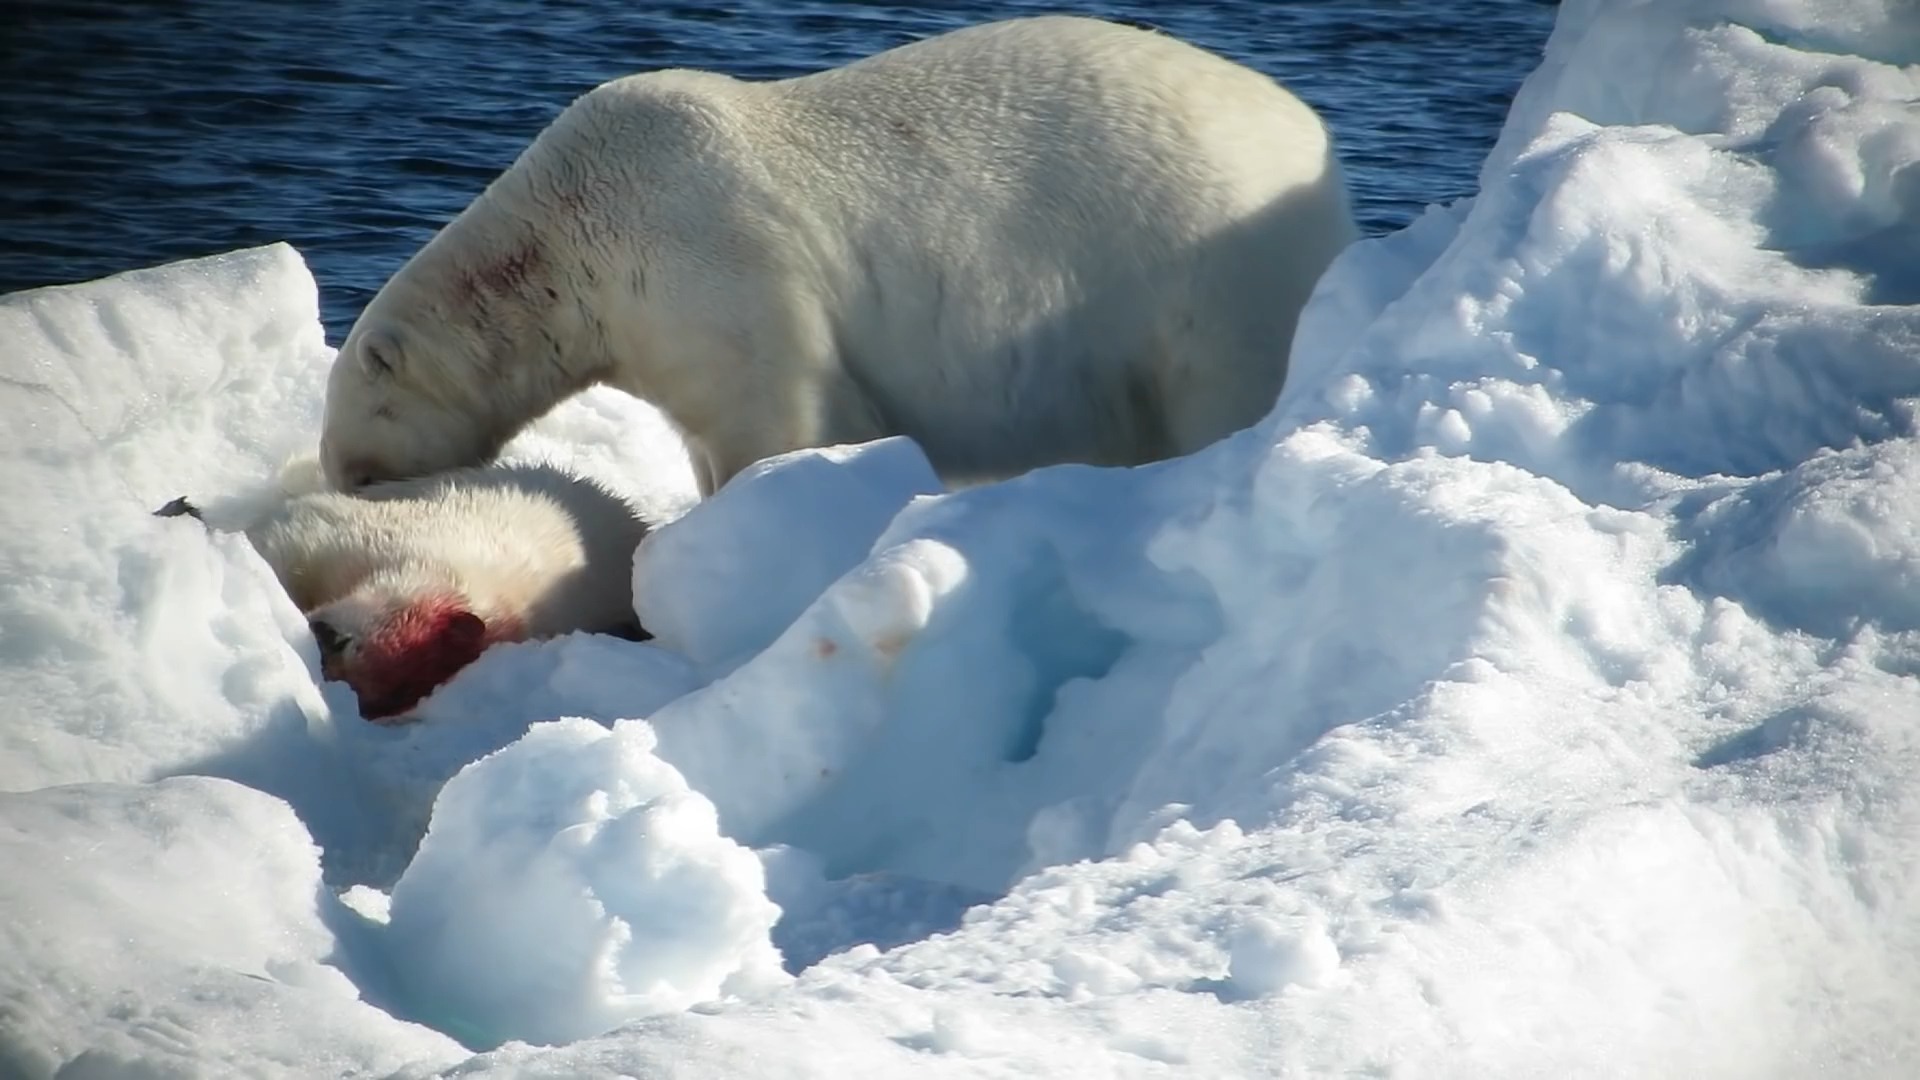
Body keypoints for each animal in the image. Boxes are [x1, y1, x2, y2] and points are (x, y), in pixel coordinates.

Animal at [322, 14, 1359, 495]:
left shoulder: (714, 265)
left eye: (356, 413)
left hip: (1209, 265)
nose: (342, 475)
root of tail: (1315, 144)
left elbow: (779, 413)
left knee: (1225, 378)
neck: (576, 219)